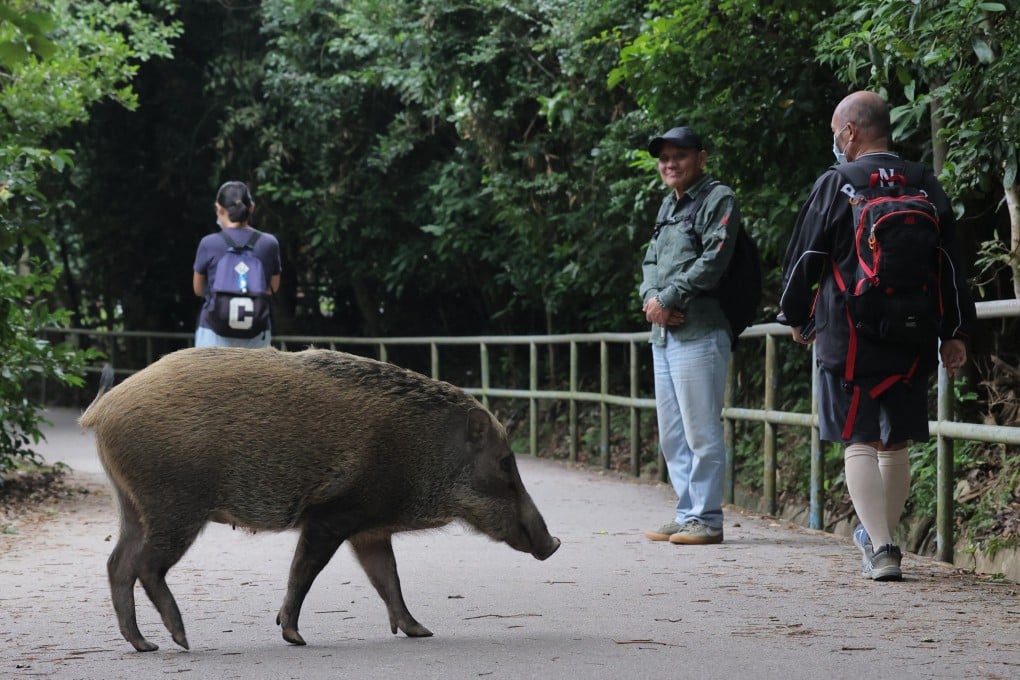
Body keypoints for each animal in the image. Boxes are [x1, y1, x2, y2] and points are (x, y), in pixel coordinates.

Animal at [79, 346, 560, 652]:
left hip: (132, 504)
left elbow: (388, 578)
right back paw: (181, 640)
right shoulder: (331, 515)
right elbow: (304, 572)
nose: (553, 543)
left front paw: (420, 631)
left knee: (117, 563)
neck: (423, 451)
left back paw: (145, 645)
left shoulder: (370, 530)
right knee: (145, 566)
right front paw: (293, 637)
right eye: (505, 463)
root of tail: (101, 410)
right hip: (174, 504)